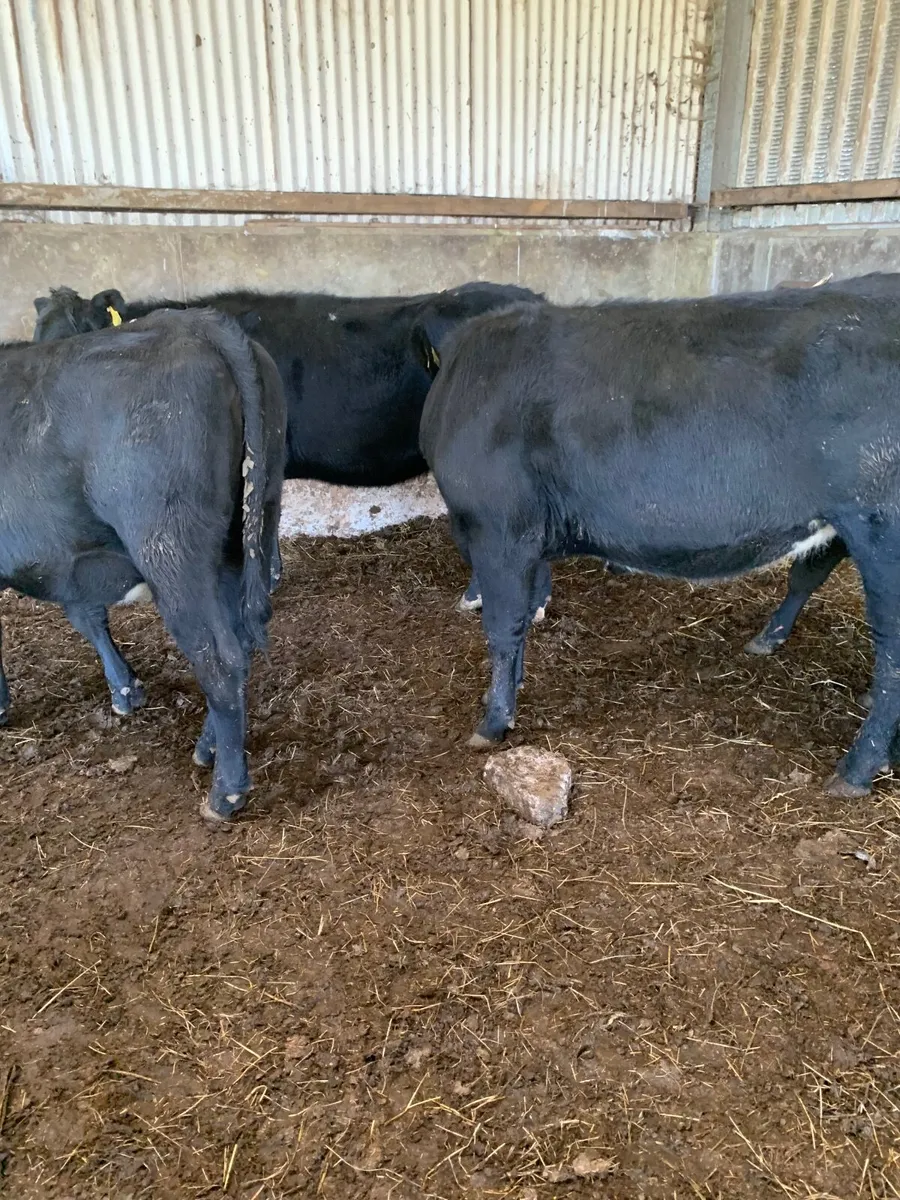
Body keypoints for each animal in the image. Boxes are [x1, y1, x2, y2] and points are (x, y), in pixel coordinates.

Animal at [0, 307, 286, 823]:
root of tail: (195, 323)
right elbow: (89, 614)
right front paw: (125, 690)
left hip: (169, 548)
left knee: (219, 657)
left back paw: (226, 793)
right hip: (247, 527)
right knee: (238, 642)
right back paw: (208, 749)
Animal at [418, 282, 900, 798]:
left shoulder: (499, 529)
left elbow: (503, 628)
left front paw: (493, 722)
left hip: (880, 527)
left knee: (892, 653)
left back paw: (854, 771)